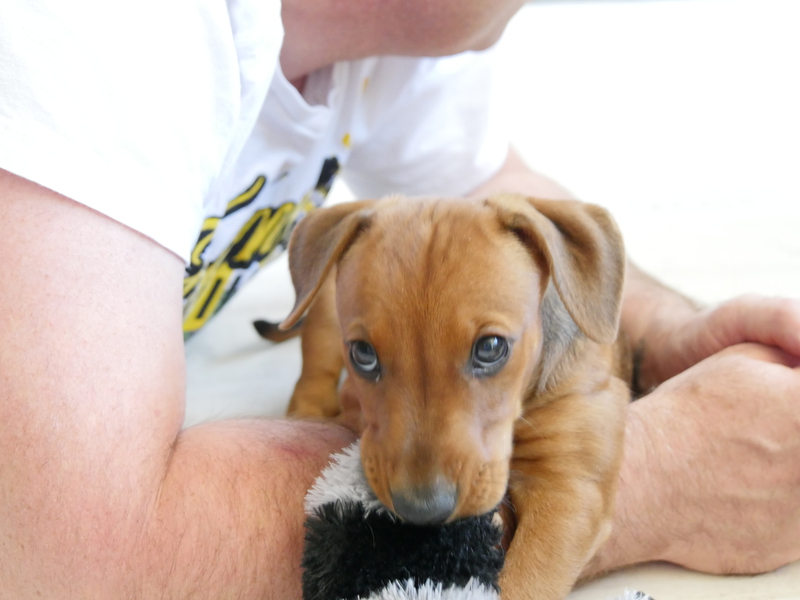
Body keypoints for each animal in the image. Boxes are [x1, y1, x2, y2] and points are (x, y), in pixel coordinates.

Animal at [256, 193, 631, 600]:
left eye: (491, 347)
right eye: (363, 353)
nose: (422, 513)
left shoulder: (570, 488)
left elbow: (523, 583)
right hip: (323, 313)